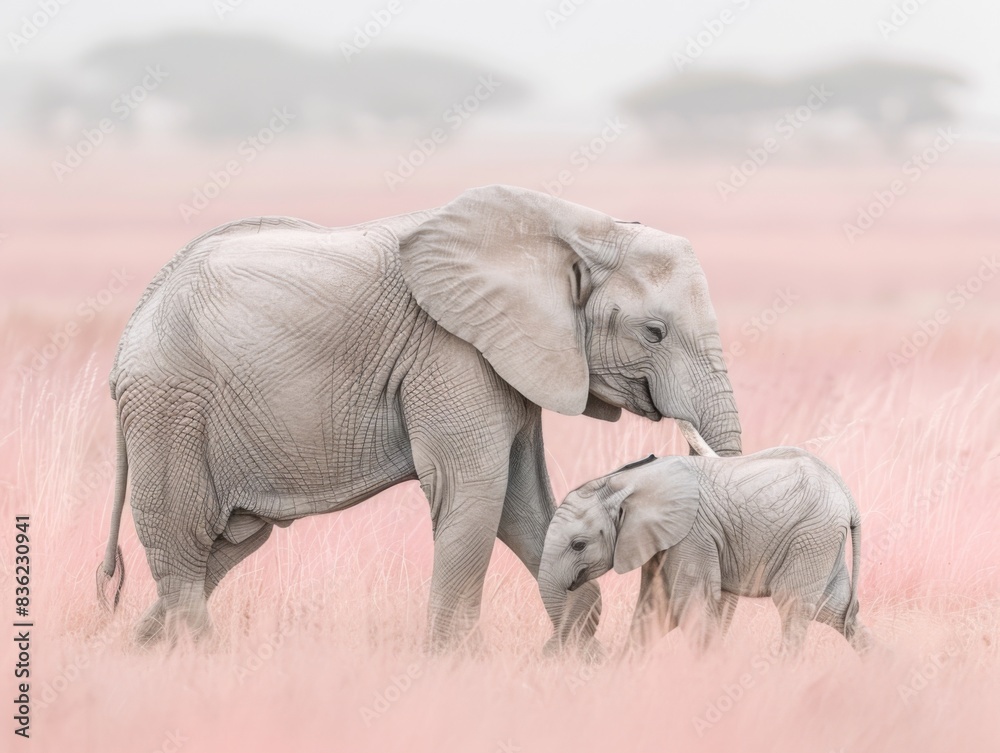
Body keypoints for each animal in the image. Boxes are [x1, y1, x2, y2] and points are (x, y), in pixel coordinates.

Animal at [95, 184, 742, 650]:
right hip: (170, 408)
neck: (578, 228)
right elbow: (476, 490)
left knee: (226, 546)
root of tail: (131, 329)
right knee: (184, 546)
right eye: (654, 332)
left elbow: (524, 501)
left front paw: (574, 655)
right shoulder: (451, 351)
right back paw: (195, 659)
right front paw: (458, 668)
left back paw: (140, 650)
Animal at [538, 446, 873, 655]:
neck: (621, 482)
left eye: (578, 545)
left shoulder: (690, 535)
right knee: (835, 610)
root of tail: (848, 497)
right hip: (821, 539)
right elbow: (655, 609)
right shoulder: (659, 541)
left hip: (812, 535)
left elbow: (691, 604)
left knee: (794, 606)